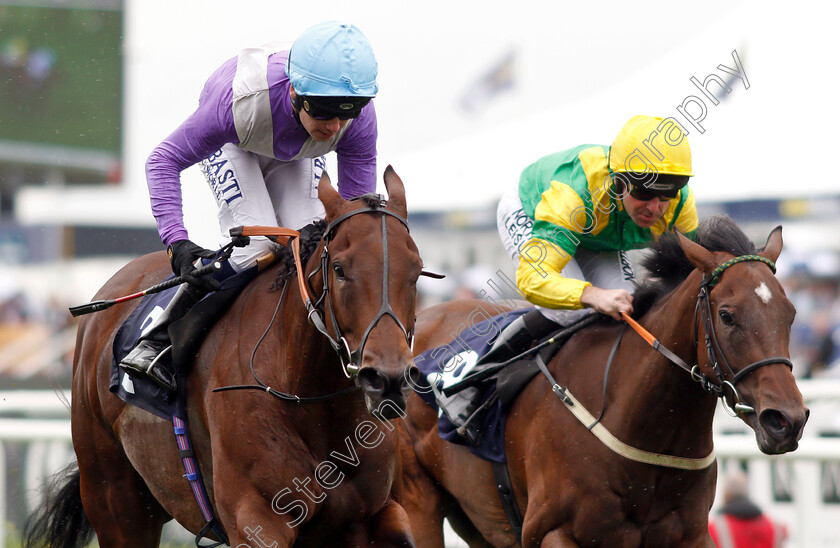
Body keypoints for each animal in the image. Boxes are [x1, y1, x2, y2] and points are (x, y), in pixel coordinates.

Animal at [27, 169, 426, 544]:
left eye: (417, 270)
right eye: (340, 270)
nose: (387, 378)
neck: (311, 396)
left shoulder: (374, 515)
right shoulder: (257, 519)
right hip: (115, 498)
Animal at [398, 216, 812, 544]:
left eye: (790, 313)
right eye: (727, 315)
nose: (786, 420)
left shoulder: (691, 536)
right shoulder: (552, 532)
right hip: (419, 502)